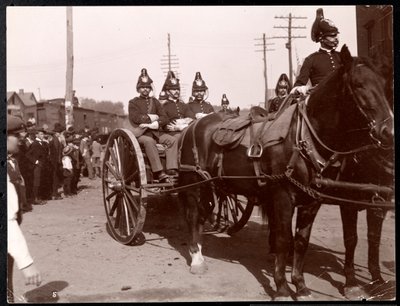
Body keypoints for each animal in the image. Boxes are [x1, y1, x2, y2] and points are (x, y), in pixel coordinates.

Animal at [177, 44, 394, 300]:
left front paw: (301, 286)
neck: (302, 138)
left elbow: (301, 242)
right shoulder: (284, 198)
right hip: (193, 183)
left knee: (205, 212)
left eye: (383, 84)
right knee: (193, 215)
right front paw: (281, 287)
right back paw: (197, 259)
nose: (388, 131)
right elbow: (284, 240)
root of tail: (193, 125)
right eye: (358, 85)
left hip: (213, 185)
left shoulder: (312, 201)